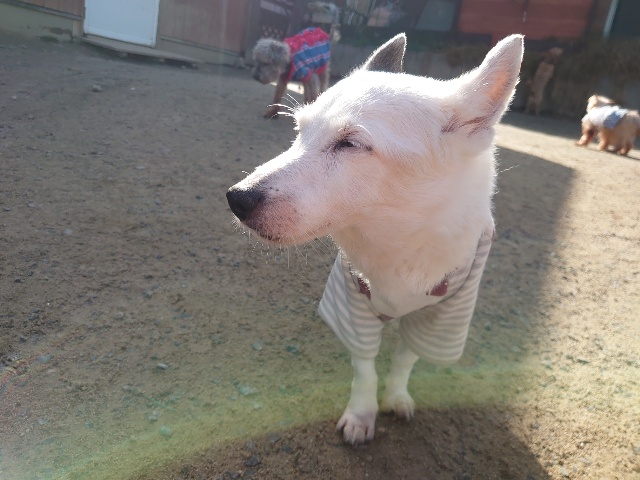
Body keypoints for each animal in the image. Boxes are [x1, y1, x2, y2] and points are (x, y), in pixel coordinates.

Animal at [228, 33, 523, 444]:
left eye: (350, 144)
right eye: (299, 132)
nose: (236, 198)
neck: (397, 243)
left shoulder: (442, 316)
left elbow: (404, 359)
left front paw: (396, 395)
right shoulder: (352, 303)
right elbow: (364, 367)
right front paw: (362, 413)